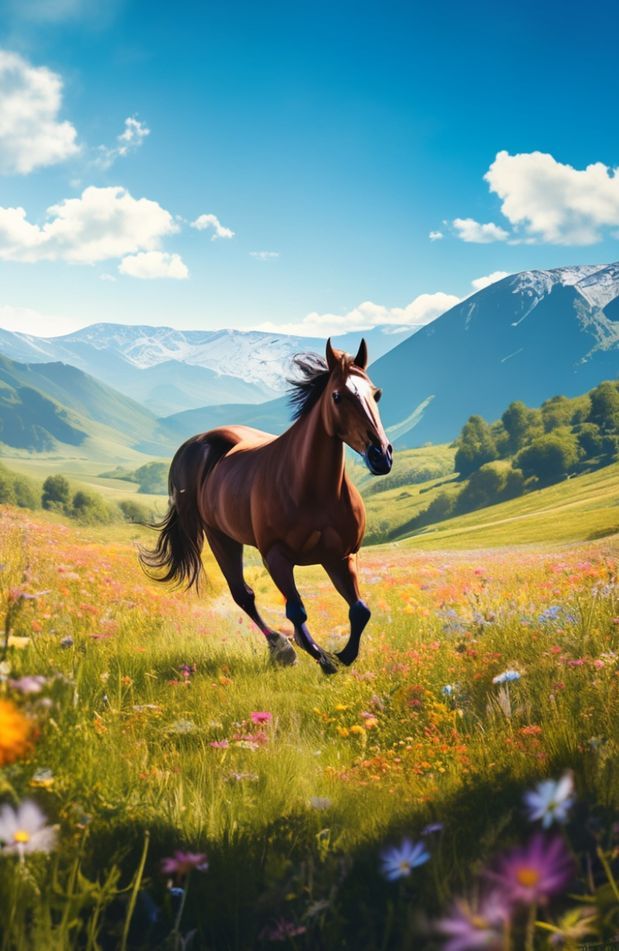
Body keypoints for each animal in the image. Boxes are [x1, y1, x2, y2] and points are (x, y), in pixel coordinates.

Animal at [141, 338, 393, 674]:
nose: (381, 455)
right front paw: (322, 658)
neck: (311, 488)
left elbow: (360, 610)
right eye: (338, 396)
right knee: (243, 595)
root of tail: (195, 444)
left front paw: (345, 655)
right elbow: (297, 610)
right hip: (221, 538)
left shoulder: (340, 556)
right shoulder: (276, 557)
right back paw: (280, 646)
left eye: (376, 394)